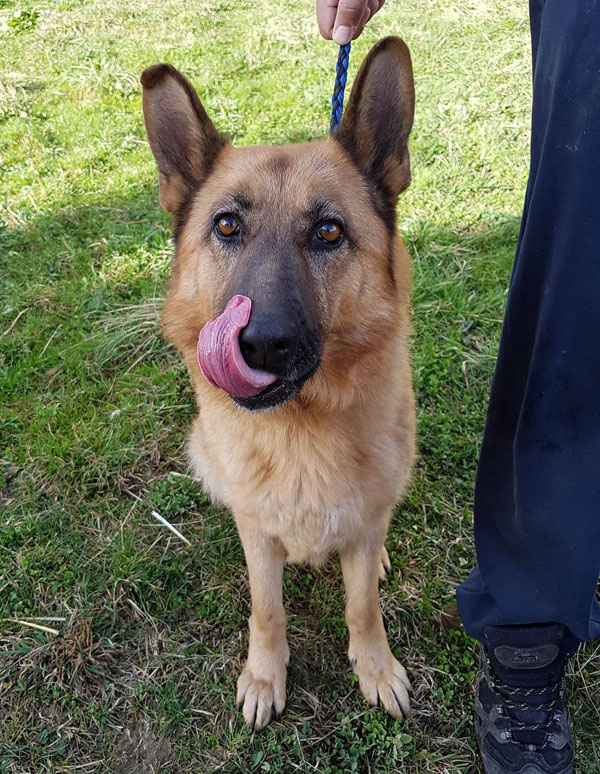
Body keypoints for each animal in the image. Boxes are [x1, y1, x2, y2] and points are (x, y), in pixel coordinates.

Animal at [141, 36, 414, 732]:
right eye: (227, 226)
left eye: (328, 232)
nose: (259, 342)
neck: (301, 428)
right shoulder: (259, 538)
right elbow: (267, 610)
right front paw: (265, 675)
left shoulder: (362, 524)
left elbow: (362, 605)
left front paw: (375, 668)